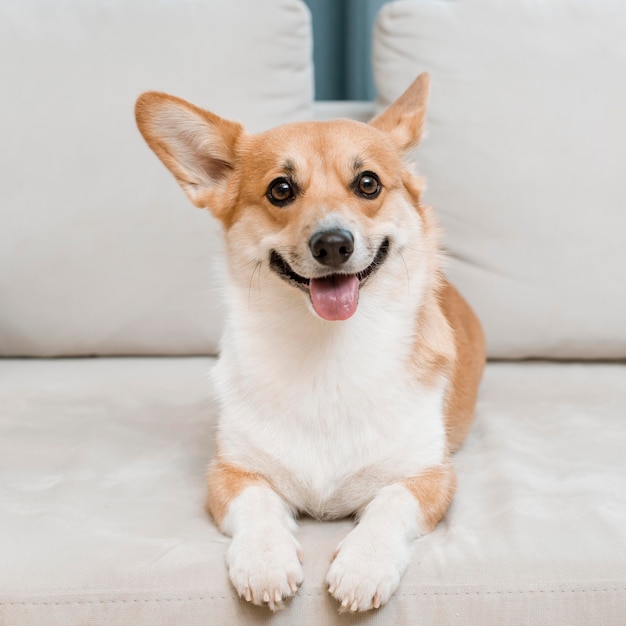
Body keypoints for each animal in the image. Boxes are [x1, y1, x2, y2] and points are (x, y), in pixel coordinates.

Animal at [134, 72, 486, 608]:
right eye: (281, 190)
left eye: (368, 184)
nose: (333, 244)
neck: (328, 349)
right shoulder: (229, 472)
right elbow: (257, 502)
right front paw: (264, 560)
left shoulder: (430, 476)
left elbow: (390, 503)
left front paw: (364, 565)